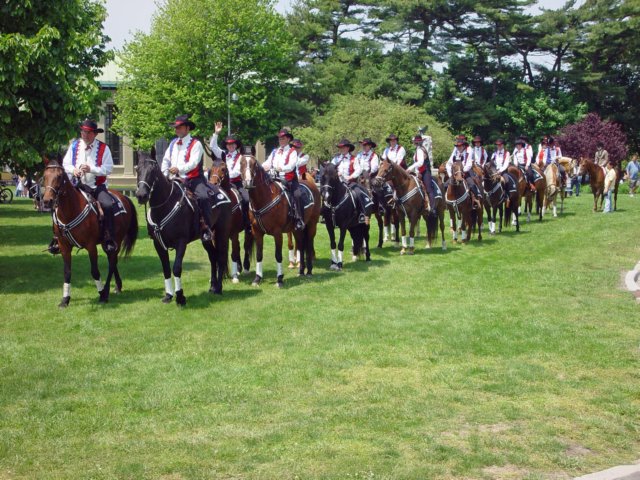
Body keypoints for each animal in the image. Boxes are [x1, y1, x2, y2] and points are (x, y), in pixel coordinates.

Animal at [41, 159, 138, 306]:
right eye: (44, 176)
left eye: (59, 176)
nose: (47, 201)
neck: (71, 210)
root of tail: (124, 197)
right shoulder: (64, 247)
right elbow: (67, 272)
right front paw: (65, 299)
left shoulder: (91, 246)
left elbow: (95, 271)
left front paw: (101, 294)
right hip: (106, 243)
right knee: (112, 261)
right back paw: (117, 286)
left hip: (116, 240)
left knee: (112, 262)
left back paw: (107, 290)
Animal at [135, 152, 232, 306]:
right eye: (138, 169)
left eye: (153, 170)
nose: (141, 195)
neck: (165, 205)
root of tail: (223, 191)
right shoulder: (158, 244)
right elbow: (166, 269)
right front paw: (168, 295)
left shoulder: (181, 242)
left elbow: (176, 268)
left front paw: (180, 296)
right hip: (206, 238)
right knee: (213, 256)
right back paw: (212, 286)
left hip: (222, 233)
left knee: (221, 257)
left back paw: (218, 289)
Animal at [239, 156, 322, 286]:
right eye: (241, 163)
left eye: (254, 165)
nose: (248, 182)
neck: (265, 197)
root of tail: (312, 184)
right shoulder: (257, 232)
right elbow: (259, 255)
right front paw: (257, 278)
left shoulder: (277, 233)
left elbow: (278, 255)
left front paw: (279, 279)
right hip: (297, 229)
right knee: (301, 245)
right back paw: (301, 271)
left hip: (312, 224)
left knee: (308, 244)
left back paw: (309, 271)